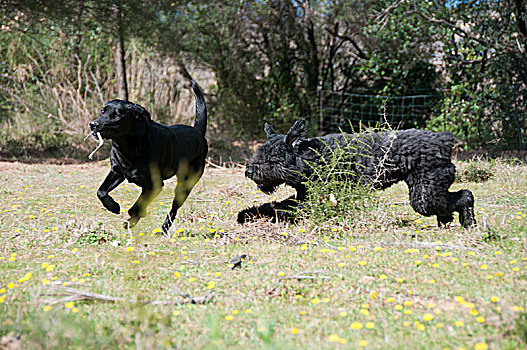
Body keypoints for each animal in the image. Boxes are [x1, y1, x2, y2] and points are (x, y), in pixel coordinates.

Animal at [89, 80, 207, 234]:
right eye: (102, 111)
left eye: (117, 116)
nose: (93, 124)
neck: (128, 147)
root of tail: (198, 133)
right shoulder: (117, 172)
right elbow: (101, 192)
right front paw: (113, 207)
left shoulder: (154, 185)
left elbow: (137, 207)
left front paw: (133, 217)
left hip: (185, 184)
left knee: (174, 209)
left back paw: (163, 228)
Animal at [237, 117, 476, 227]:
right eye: (259, 153)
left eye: (273, 160)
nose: (249, 170)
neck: (311, 158)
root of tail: (444, 139)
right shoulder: (305, 196)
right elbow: (276, 206)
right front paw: (247, 214)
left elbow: (281, 208)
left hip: (424, 195)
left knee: (465, 196)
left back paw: (469, 224)